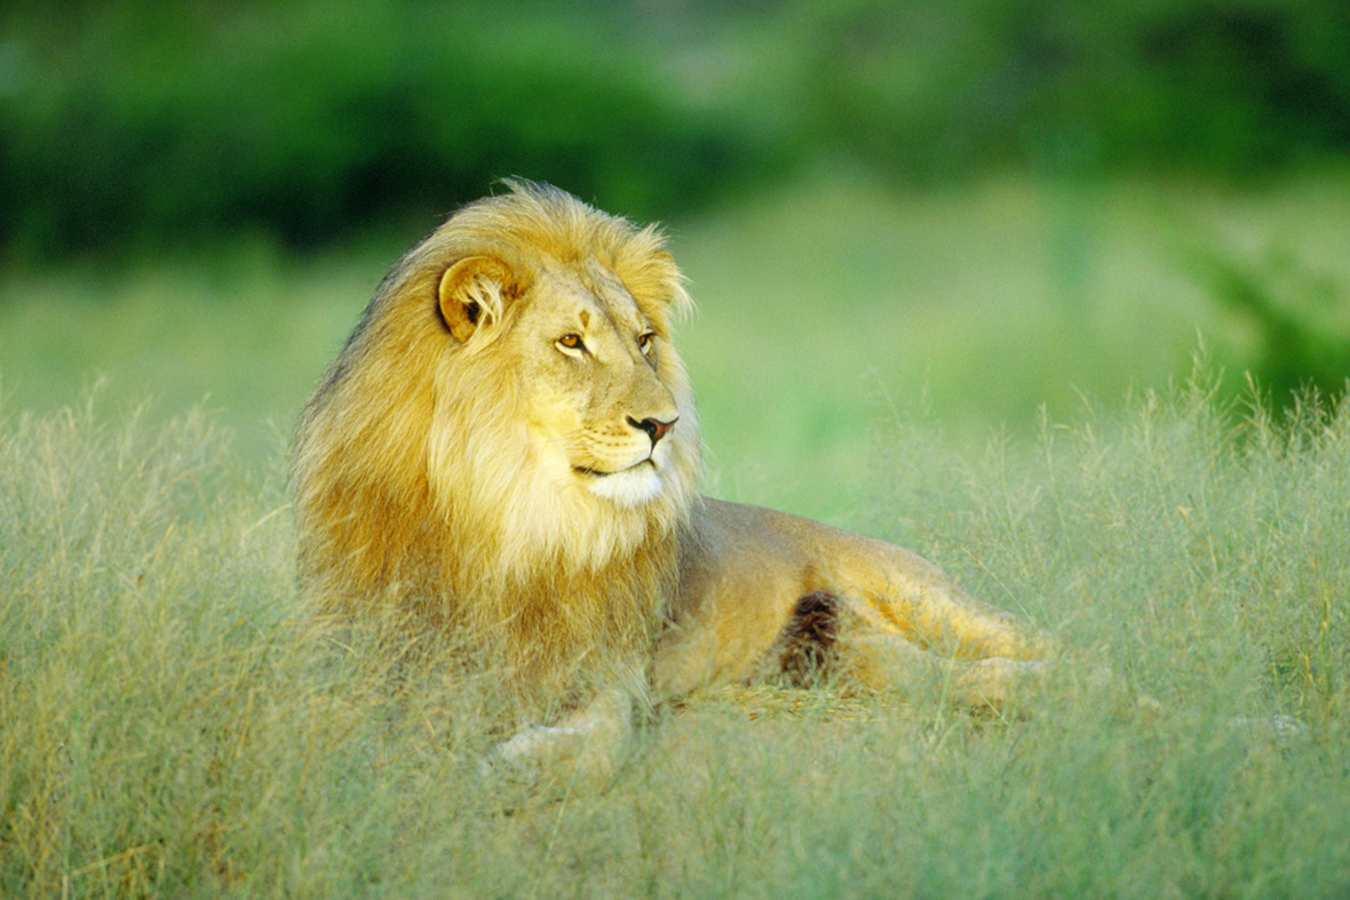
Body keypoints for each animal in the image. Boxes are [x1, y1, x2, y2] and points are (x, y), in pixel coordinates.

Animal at [293, 179, 1048, 783]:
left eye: (644, 340)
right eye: (572, 342)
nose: (663, 424)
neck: (508, 518)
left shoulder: (610, 670)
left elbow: (603, 741)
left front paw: (513, 765)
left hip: (925, 596)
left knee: (1040, 646)